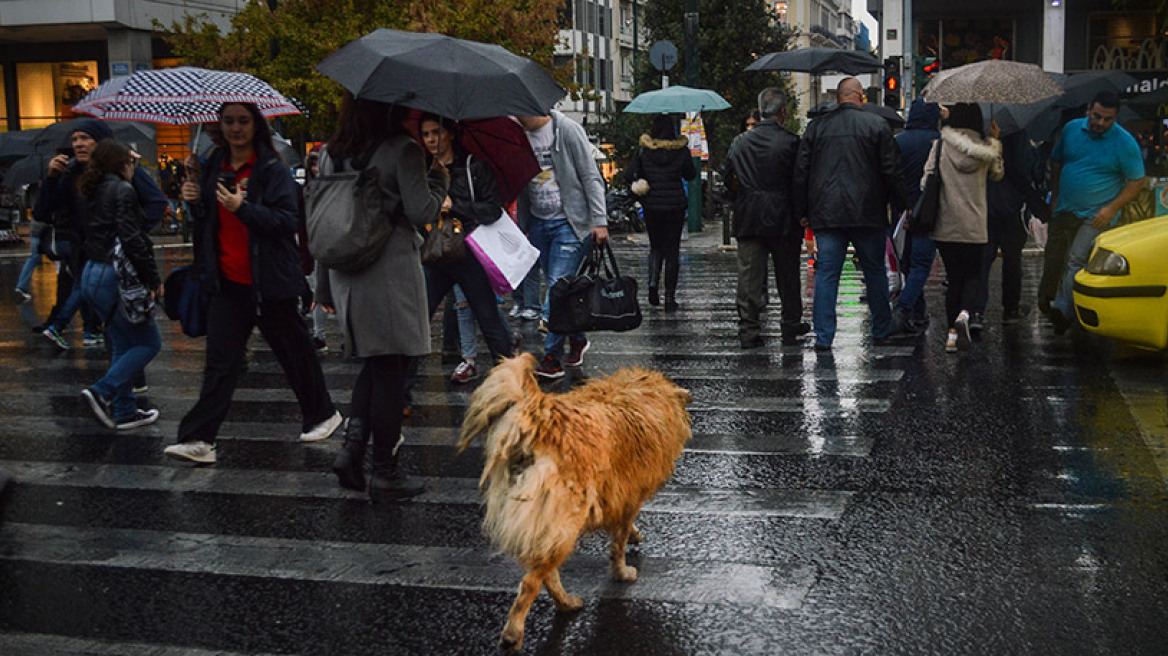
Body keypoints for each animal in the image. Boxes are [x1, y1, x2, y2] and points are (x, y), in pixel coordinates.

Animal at [457, 352, 691, 648]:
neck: (641, 390)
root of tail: (539, 420)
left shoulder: (620, 492)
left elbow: (623, 526)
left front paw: (634, 536)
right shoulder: (631, 494)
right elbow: (619, 542)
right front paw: (621, 571)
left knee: (546, 571)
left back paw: (565, 603)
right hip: (566, 519)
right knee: (532, 581)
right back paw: (516, 631)